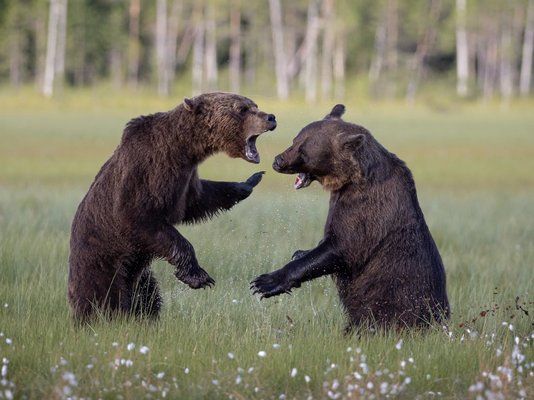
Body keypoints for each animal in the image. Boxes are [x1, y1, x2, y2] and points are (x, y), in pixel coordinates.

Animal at [69, 91, 278, 322]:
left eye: (254, 105)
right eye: (242, 109)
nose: (271, 117)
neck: (181, 151)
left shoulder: (184, 181)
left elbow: (199, 200)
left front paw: (249, 182)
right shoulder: (145, 175)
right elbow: (140, 219)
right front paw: (199, 277)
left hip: (139, 274)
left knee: (148, 296)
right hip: (102, 261)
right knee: (101, 297)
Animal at [251, 104, 448, 332]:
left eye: (304, 150)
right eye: (295, 140)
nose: (278, 161)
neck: (348, 180)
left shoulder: (364, 211)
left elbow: (341, 246)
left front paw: (265, 282)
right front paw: (300, 252)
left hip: (393, 309)